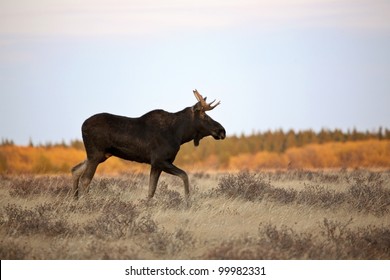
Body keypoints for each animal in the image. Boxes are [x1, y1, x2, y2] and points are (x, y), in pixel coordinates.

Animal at [71, 88, 227, 200]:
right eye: (204, 115)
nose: (222, 130)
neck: (180, 134)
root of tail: (82, 125)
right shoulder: (159, 160)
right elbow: (184, 175)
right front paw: (188, 202)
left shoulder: (156, 164)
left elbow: (151, 190)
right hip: (96, 154)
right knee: (85, 179)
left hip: (101, 155)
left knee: (75, 170)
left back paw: (75, 200)